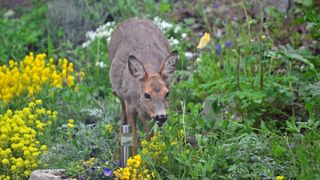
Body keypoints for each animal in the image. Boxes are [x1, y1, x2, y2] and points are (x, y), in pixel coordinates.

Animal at [107, 17, 178, 155]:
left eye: (167, 93)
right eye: (147, 94)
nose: (161, 117)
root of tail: (133, 18)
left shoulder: (149, 115)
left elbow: (150, 139)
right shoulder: (130, 106)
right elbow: (134, 140)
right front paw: (133, 159)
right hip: (121, 94)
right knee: (122, 112)